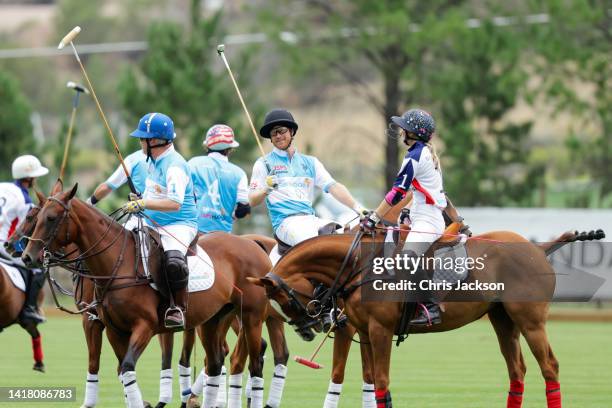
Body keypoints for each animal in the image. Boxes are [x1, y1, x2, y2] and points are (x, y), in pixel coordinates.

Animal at [22, 184, 270, 408]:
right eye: (37, 217)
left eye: (51, 218)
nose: (26, 256)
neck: (117, 264)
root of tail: (253, 244)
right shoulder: (113, 329)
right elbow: (120, 369)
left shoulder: (142, 326)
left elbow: (127, 367)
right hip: (214, 319)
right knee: (216, 363)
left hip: (251, 317)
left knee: (255, 364)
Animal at [250, 228, 592, 406]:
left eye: (284, 299)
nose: (309, 330)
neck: (359, 264)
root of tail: (539, 248)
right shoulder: (366, 333)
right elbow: (372, 382)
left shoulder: (381, 330)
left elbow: (382, 384)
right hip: (503, 320)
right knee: (517, 371)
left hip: (531, 321)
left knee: (550, 367)